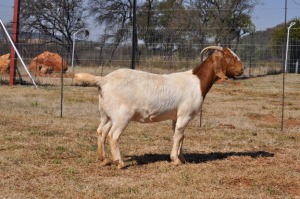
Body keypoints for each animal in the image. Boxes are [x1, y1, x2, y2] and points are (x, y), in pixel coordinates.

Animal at [75, 45, 244, 169]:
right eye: (228, 56)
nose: (241, 69)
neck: (197, 81)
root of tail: (103, 80)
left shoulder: (177, 116)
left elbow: (180, 135)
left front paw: (182, 158)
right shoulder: (185, 114)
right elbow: (178, 135)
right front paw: (175, 160)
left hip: (107, 114)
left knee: (101, 131)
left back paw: (103, 159)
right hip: (122, 115)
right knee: (113, 135)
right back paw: (120, 163)